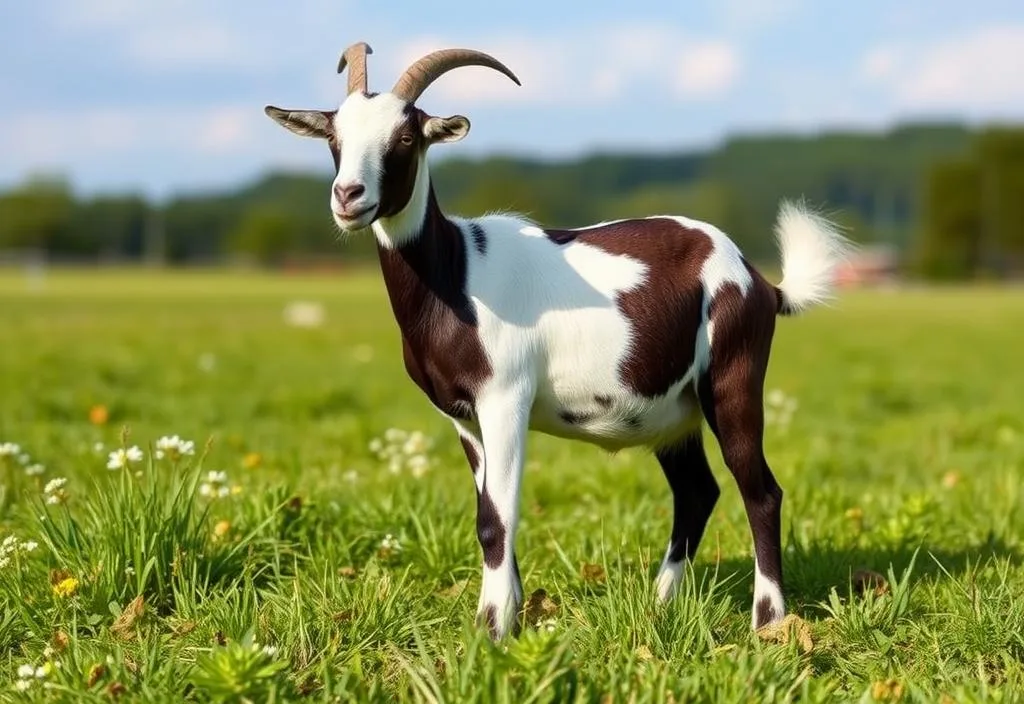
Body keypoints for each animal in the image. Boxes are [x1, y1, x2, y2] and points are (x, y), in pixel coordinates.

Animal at [266, 41, 856, 642]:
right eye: (334, 137)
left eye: (406, 137)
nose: (348, 197)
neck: (457, 272)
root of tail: (760, 281)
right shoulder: (463, 417)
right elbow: (488, 513)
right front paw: (510, 615)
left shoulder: (505, 399)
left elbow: (497, 516)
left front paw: (492, 629)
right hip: (674, 412)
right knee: (697, 491)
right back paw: (661, 605)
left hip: (732, 378)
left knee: (760, 491)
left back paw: (769, 623)